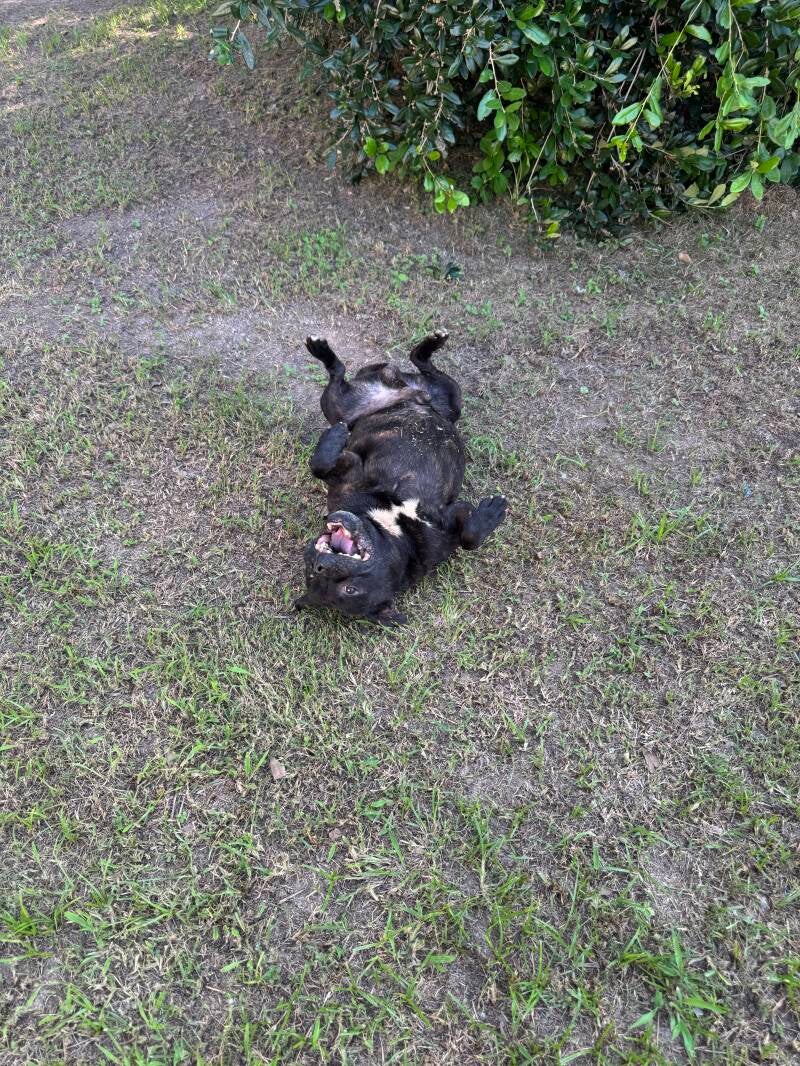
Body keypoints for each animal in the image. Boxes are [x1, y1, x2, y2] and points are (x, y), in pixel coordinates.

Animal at [294, 329, 507, 625]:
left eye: (350, 588)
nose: (320, 564)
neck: (393, 532)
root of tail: (402, 387)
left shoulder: (350, 472)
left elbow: (469, 537)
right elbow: (469, 539)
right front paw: (492, 512)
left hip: (449, 399)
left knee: (415, 364)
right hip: (339, 405)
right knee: (339, 376)